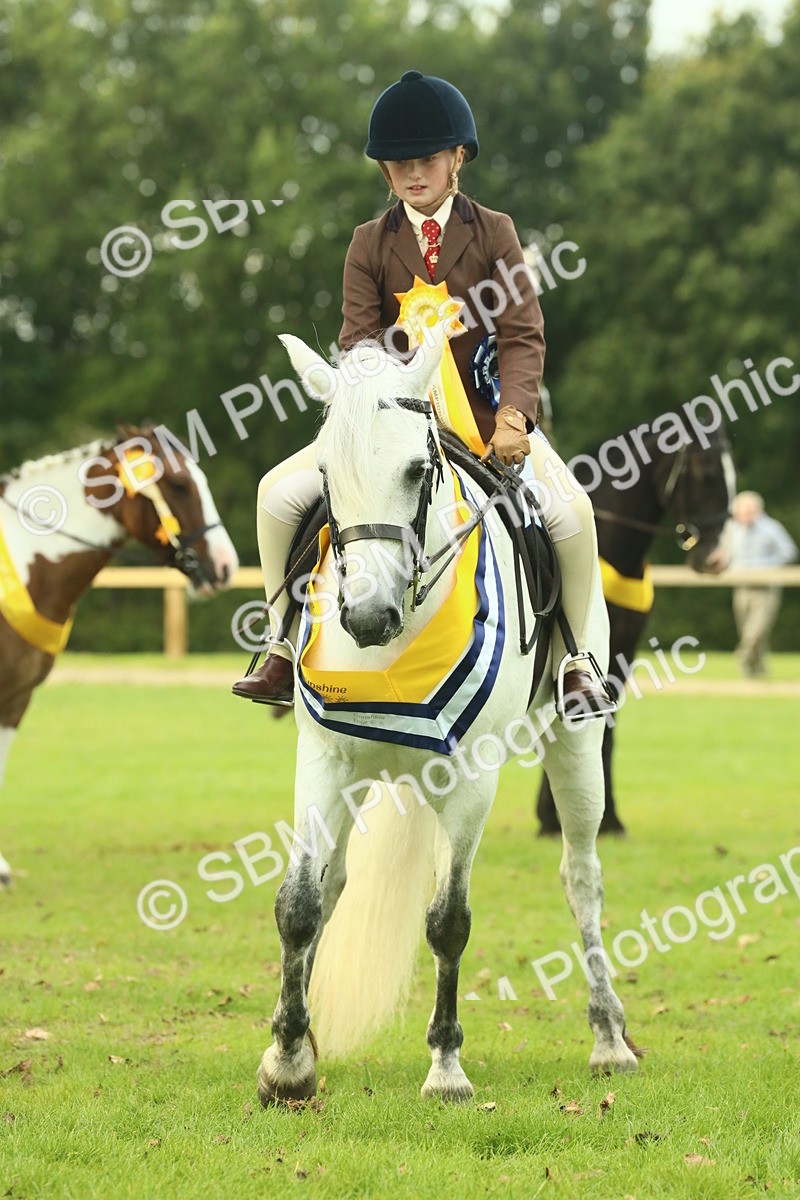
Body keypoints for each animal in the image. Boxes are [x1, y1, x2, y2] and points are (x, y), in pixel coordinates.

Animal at [256, 323, 639, 1105]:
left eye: (415, 469)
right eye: (326, 476)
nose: (367, 617)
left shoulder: (469, 780)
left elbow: (449, 919)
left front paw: (446, 1065)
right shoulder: (326, 759)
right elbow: (300, 902)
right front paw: (287, 1061)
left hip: (575, 747)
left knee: (581, 877)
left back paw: (610, 1037)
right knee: (333, 886)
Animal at [536, 428, 735, 836]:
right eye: (706, 472)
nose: (718, 559)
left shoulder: (621, 653)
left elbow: (606, 731)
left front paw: (608, 818)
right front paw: (552, 819)